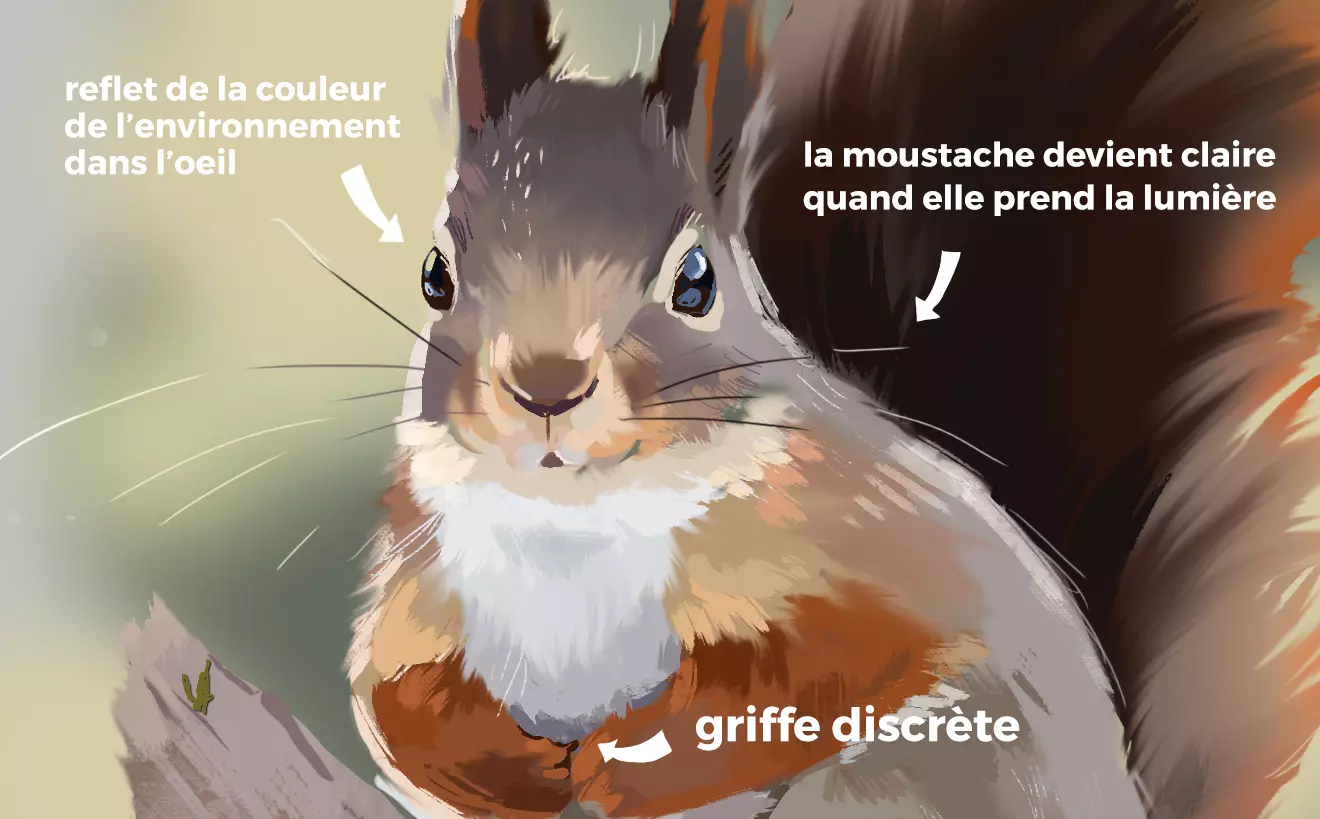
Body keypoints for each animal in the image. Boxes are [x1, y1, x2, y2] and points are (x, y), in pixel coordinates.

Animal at [346, 1, 1320, 818]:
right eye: (435, 275)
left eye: (695, 281)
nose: (546, 388)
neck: (573, 518)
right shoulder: (418, 563)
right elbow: (385, 690)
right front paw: (487, 758)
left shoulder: (881, 539)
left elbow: (847, 668)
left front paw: (641, 757)